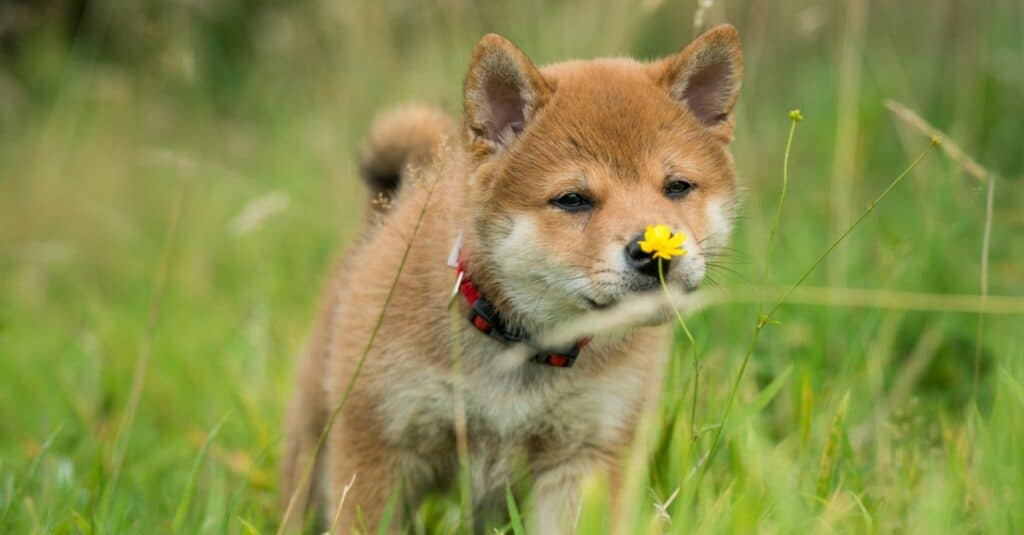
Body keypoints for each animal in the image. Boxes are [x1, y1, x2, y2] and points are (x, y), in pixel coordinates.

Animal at [282, 23, 745, 528]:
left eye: (677, 187)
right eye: (572, 199)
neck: (522, 346)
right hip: (315, 446)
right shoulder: (377, 448)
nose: (654, 254)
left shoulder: (586, 454)